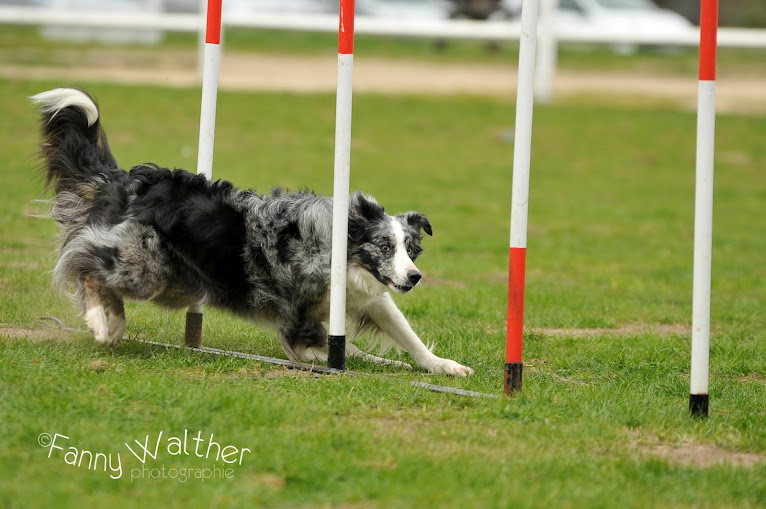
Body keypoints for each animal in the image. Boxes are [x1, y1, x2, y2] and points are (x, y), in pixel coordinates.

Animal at [31, 87, 474, 376]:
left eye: (410, 250)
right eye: (383, 245)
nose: (415, 277)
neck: (338, 254)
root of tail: (125, 180)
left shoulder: (370, 297)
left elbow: (406, 334)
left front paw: (444, 366)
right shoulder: (296, 324)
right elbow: (327, 350)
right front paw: (366, 363)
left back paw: (114, 322)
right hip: (148, 264)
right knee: (84, 263)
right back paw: (101, 321)